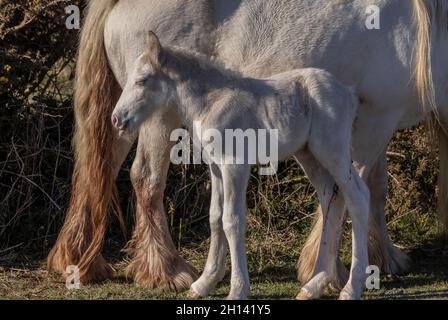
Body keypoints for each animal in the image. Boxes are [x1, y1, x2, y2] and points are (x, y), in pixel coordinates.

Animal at [112, 32, 372, 300]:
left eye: (142, 80)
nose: (117, 119)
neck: (211, 102)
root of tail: (349, 93)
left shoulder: (234, 165)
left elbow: (232, 220)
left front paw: (237, 289)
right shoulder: (216, 168)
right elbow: (215, 217)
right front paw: (204, 283)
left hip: (334, 151)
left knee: (358, 197)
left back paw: (351, 287)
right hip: (309, 155)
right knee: (331, 197)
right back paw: (313, 285)